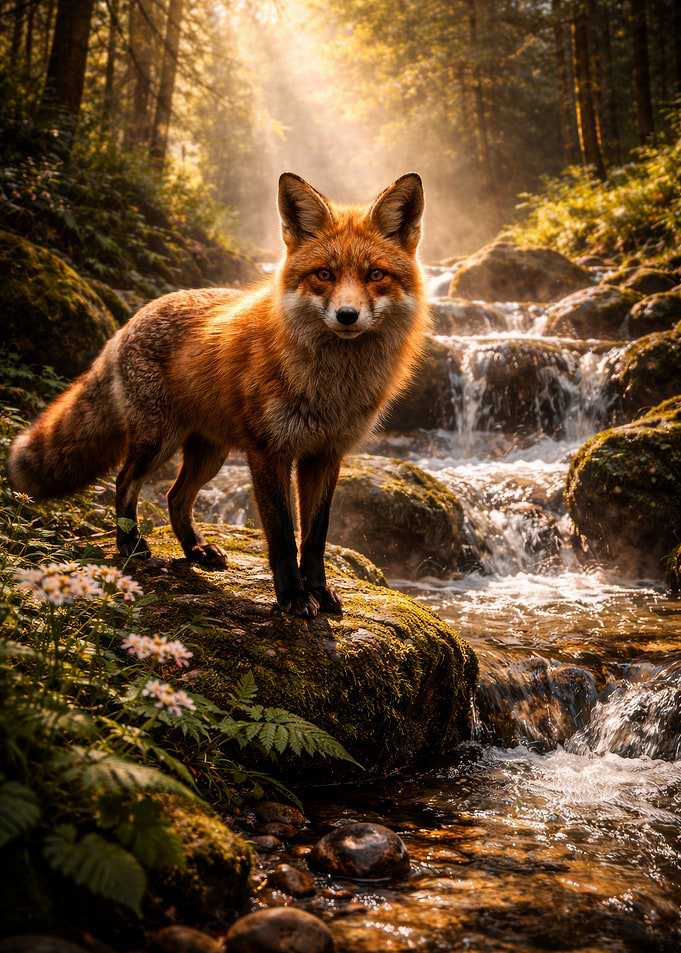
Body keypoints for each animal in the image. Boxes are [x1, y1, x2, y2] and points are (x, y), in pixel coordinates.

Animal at [8, 172, 429, 617]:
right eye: (325, 274)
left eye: (375, 275)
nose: (347, 316)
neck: (332, 386)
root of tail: (128, 322)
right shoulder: (269, 451)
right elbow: (283, 535)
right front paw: (293, 597)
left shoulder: (326, 455)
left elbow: (315, 536)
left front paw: (318, 590)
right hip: (157, 443)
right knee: (125, 481)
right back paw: (130, 544)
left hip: (211, 454)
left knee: (175, 496)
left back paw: (195, 549)